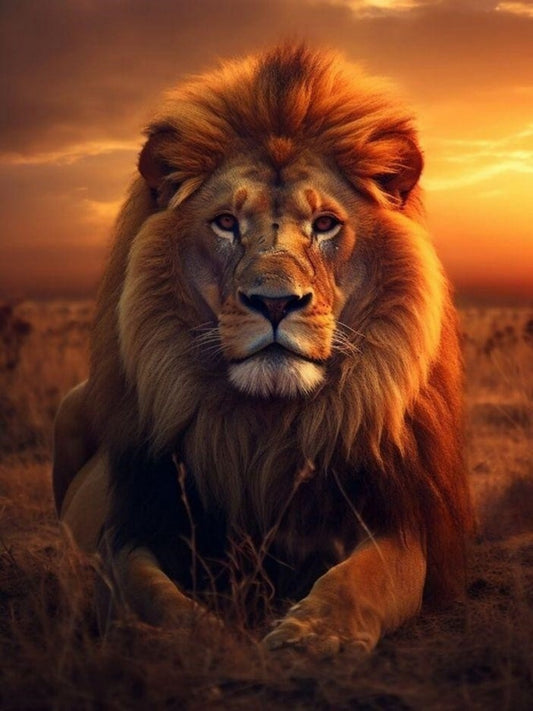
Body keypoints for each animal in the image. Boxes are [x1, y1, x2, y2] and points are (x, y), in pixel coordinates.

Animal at [53, 45, 473, 654]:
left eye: (325, 224)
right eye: (226, 222)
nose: (275, 302)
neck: (266, 428)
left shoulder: (391, 523)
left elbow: (365, 577)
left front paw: (314, 633)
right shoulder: (137, 526)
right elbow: (146, 593)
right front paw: (204, 640)